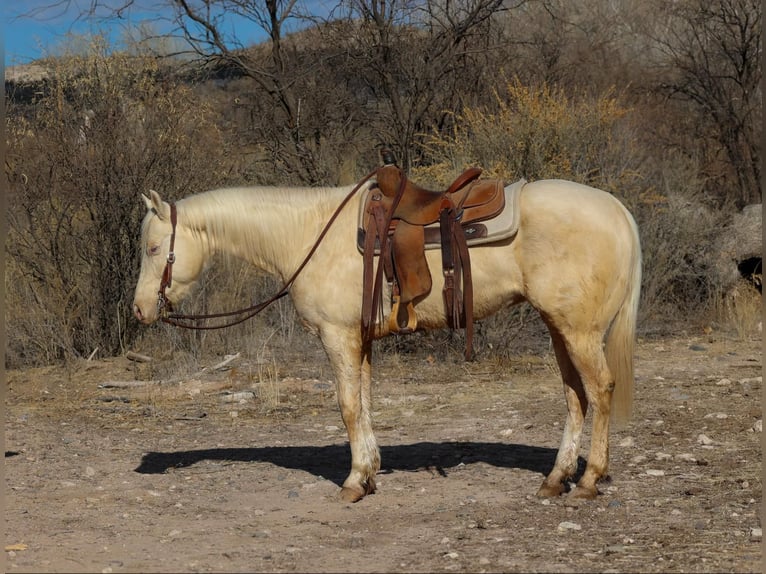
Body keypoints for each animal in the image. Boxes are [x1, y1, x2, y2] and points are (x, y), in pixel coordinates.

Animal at [132, 177, 640, 504]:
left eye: (154, 248)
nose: (139, 309)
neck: (309, 233)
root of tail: (617, 209)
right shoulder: (361, 339)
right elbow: (366, 401)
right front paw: (370, 471)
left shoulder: (338, 336)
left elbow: (348, 406)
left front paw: (354, 482)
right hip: (560, 328)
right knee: (575, 396)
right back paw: (556, 479)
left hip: (579, 331)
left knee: (600, 390)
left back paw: (588, 481)